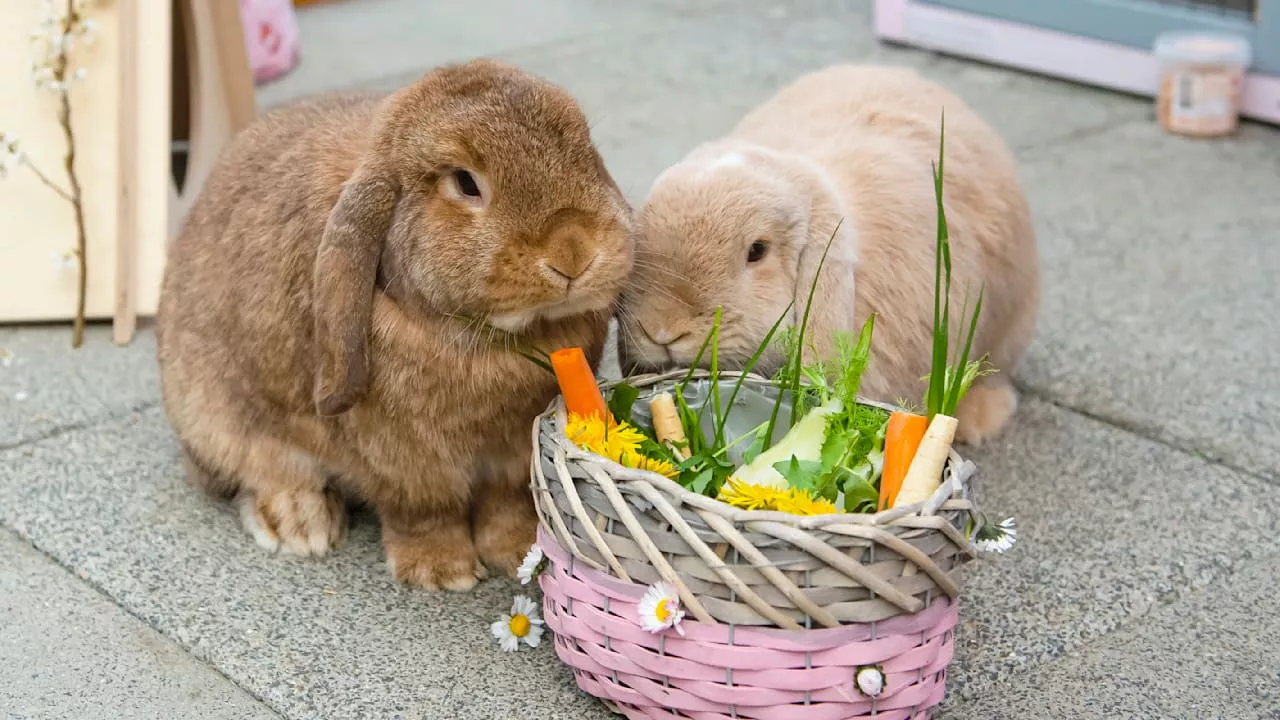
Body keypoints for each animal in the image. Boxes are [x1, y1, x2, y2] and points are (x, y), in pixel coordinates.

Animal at [157, 60, 637, 589]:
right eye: (465, 183)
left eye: (587, 150)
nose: (573, 252)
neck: (496, 339)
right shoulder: (404, 463)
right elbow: (424, 512)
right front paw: (440, 573)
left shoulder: (511, 458)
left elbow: (505, 505)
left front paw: (517, 554)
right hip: (219, 421)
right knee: (262, 473)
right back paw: (301, 527)